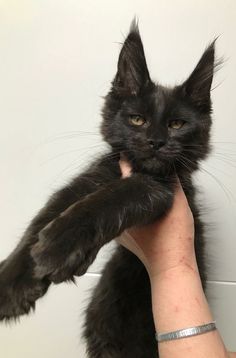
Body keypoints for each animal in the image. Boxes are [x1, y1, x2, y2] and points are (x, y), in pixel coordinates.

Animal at [0, 20, 218, 358]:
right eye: (137, 119)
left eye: (177, 125)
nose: (156, 142)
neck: (135, 170)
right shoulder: (92, 177)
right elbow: (45, 215)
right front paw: (12, 286)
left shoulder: (158, 189)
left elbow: (110, 199)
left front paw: (57, 247)